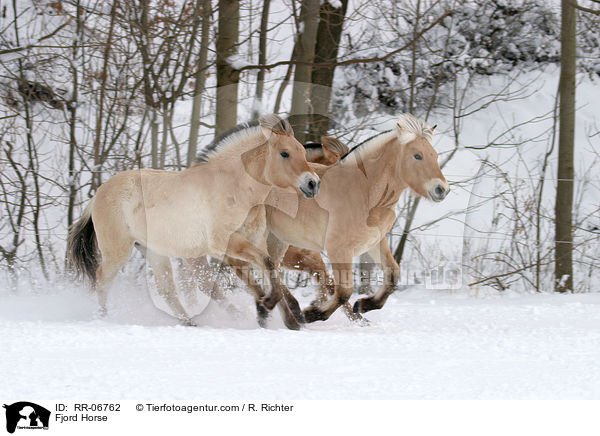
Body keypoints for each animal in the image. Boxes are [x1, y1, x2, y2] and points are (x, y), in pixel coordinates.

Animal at [68, 114, 322, 326]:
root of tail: (98, 194)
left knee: (168, 290)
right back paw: (103, 318)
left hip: (154, 251)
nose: (313, 183)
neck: (235, 187)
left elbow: (270, 271)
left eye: (302, 152)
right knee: (102, 279)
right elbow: (267, 267)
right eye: (284, 153)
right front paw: (264, 307)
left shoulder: (256, 241)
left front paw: (285, 319)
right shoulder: (224, 243)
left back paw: (191, 322)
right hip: (118, 251)